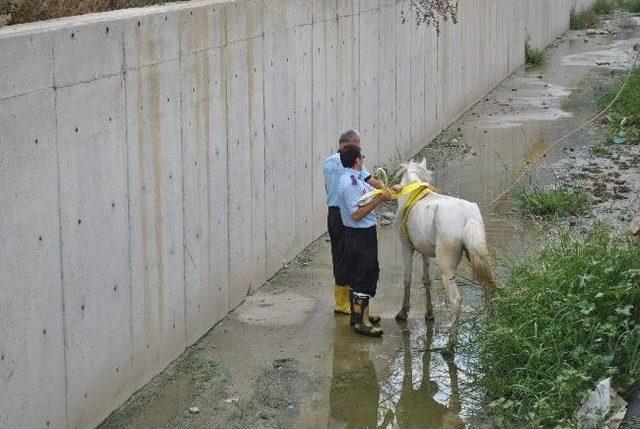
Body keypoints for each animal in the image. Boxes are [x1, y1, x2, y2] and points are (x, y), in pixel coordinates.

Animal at [396, 159, 496, 352]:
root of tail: (467, 215)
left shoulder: (406, 247)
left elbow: (407, 279)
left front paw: (403, 312)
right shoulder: (424, 251)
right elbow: (426, 280)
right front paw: (429, 313)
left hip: (446, 266)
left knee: (456, 299)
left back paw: (450, 346)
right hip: (477, 257)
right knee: (487, 287)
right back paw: (491, 328)